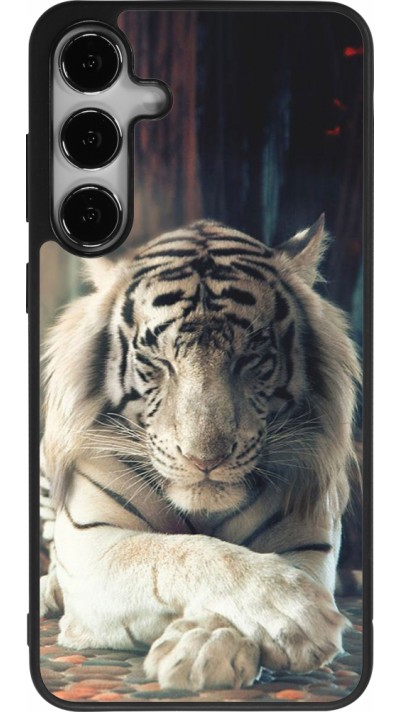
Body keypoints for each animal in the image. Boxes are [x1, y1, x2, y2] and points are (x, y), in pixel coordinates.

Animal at [40, 216, 360, 692]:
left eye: (250, 358)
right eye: (157, 361)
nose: (204, 459)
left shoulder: (308, 542)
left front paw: (206, 647)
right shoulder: (92, 543)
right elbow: (179, 552)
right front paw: (293, 611)